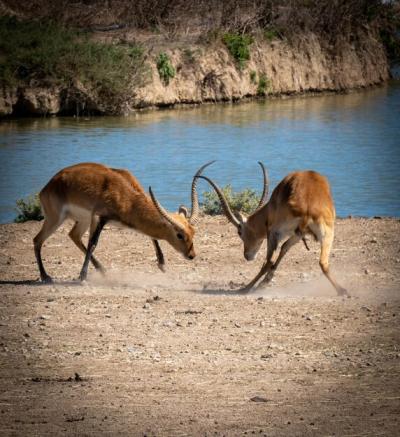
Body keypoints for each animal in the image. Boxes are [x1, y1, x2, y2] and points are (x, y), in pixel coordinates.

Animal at [33, 161, 212, 282]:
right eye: (179, 235)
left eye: (193, 232)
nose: (191, 255)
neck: (126, 196)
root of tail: (47, 186)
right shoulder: (99, 217)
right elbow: (93, 243)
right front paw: (82, 276)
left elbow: (152, 236)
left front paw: (162, 265)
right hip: (55, 218)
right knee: (37, 240)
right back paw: (45, 276)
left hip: (81, 220)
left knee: (73, 236)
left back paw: (102, 270)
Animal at [198, 164, 348, 296]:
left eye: (240, 232)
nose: (247, 255)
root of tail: (307, 207)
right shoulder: (298, 235)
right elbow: (284, 248)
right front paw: (266, 281)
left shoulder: (274, 232)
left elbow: (276, 255)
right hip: (327, 235)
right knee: (323, 262)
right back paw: (342, 290)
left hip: (275, 233)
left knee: (268, 261)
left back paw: (247, 288)